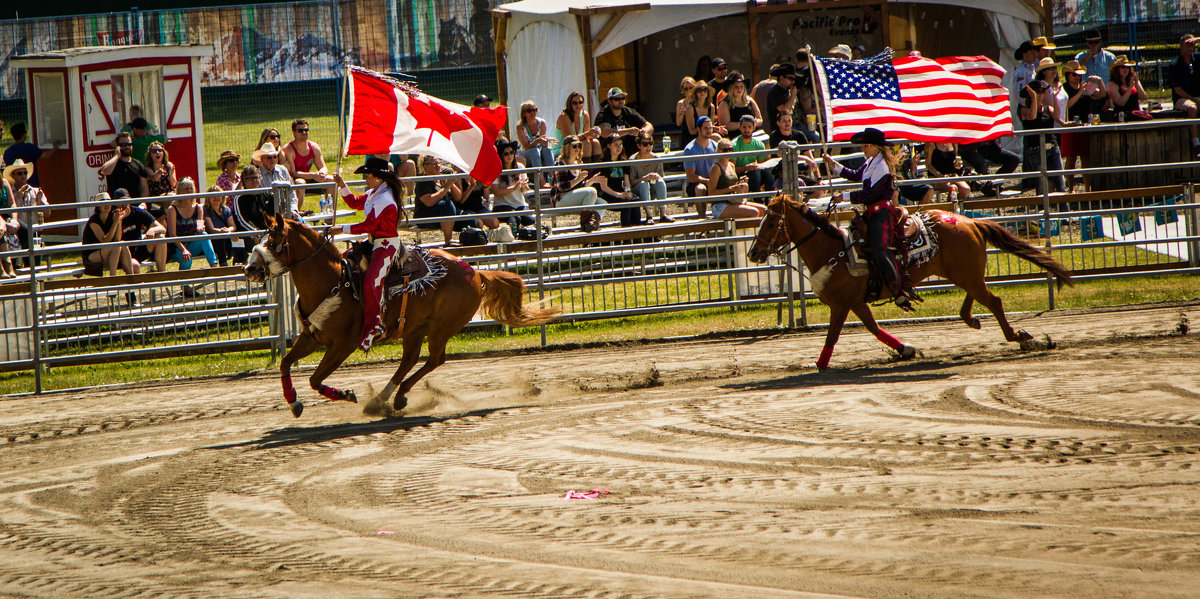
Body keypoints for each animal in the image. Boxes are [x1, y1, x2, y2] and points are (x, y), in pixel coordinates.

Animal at [244, 216, 561, 417]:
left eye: (274, 241)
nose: (249, 269)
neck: (333, 281)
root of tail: (476, 272)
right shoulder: (311, 336)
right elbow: (286, 363)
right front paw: (293, 403)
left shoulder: (342, 345)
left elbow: (314, 379)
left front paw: (345, 394)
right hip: (415, 329)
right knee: (410, 360)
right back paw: (383, 399)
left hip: (440, 328)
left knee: (434, 360)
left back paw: (396, 398)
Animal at [744, 194, 1075, 367]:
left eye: (771, 222)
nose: (753, 252)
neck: (832, 250)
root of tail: (970, 221)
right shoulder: (855, 303)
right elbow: (874, 329)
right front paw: (905, 349)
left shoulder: (840, 305)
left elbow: (832, 336)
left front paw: (819, 365)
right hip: (965, 274)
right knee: (981, 298)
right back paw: (972, 320)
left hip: (966, 274)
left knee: (993, 300)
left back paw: (1018, 337)